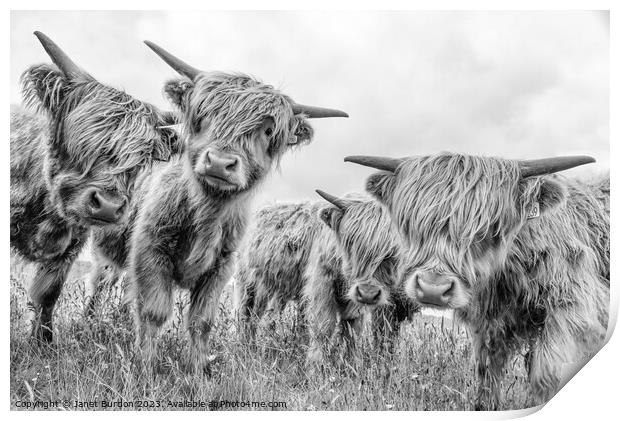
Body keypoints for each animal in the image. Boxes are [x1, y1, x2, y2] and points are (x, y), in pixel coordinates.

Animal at [10, 32, 179, 342]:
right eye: (81, 136)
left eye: (142, 157)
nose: (108, 207)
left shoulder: (71, 246)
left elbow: (47, 294)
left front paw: (43, 343)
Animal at [89, 41, 346, 370]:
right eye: (204, 113)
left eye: (267, 131)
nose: (220, 163)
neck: (206, 211)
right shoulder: (150, 250)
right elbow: (153, 312)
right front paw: (145, 367)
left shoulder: (221, 266)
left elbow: (201, 321)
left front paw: (198, 369)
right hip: (106, 254)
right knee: (99, 285)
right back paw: (90, 324)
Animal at [235, 192, 418, 362]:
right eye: (349, 242)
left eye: (391, 251)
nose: (368, 293)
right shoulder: (321, 287)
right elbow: (324, 327)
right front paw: (316, 366)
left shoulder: (356, 301)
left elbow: (352, 334)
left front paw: (352, 366)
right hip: (247, 285)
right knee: (246, 317)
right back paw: (245, 350)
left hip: (278, 291)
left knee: (268, 319)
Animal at [346, 153, 612, 408]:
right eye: (410, 223)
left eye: (489, 229)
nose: (433, 289)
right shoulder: (488, 326)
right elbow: (487, 379)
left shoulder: (576, 307)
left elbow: (546, 373)